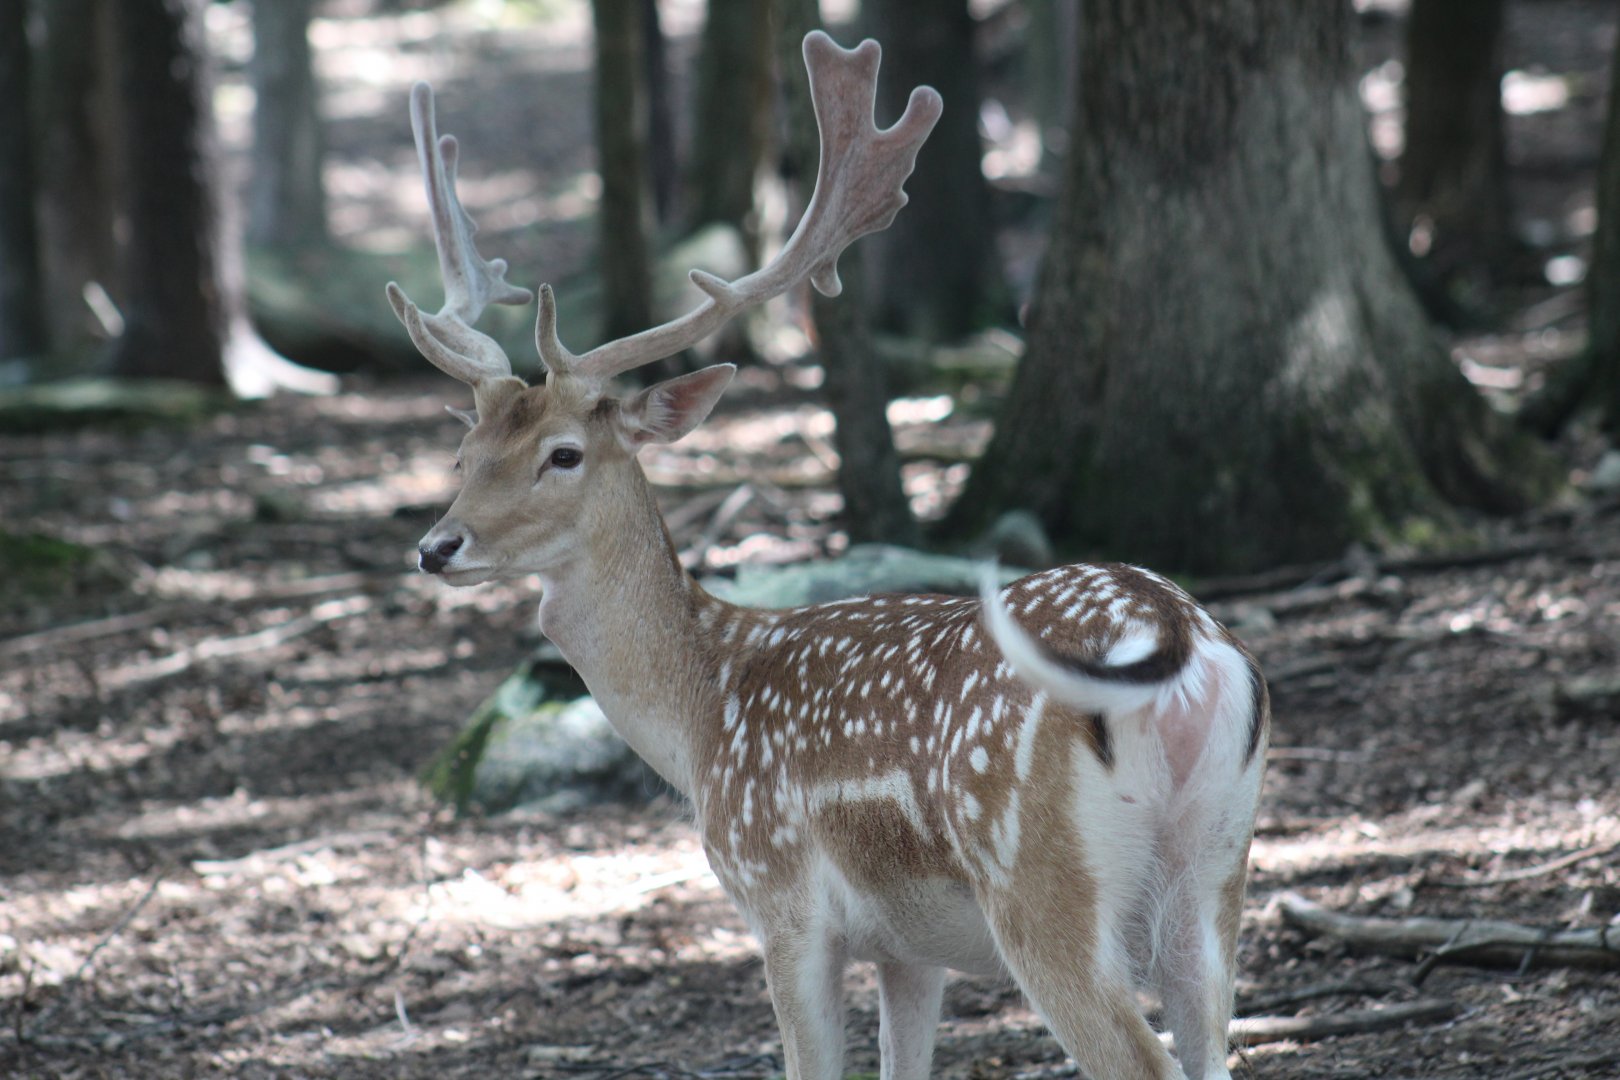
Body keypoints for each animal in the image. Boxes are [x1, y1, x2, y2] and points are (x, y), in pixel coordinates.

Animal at [386, 31, 1269, 1080]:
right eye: (465, 453)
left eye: (564, 453)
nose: (436, 546)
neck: (701, 713)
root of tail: (1175, 631)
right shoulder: (909, 946)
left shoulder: (781, 898)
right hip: (1217, 860)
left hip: (1036, 871)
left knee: (1139, 1054)